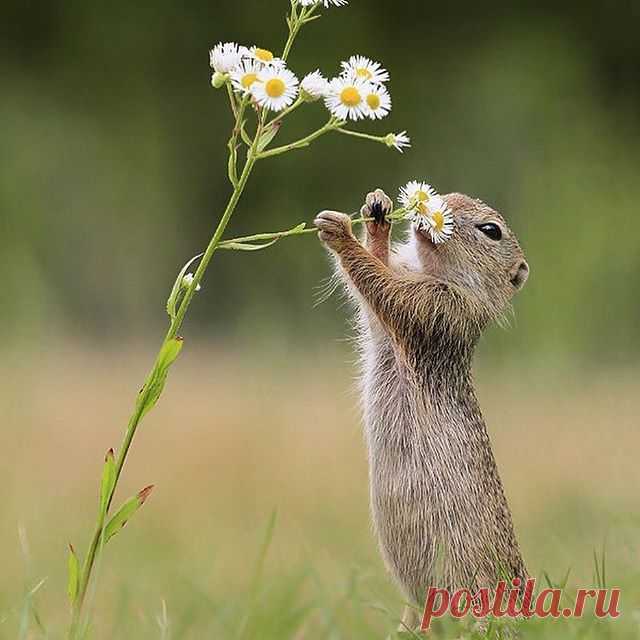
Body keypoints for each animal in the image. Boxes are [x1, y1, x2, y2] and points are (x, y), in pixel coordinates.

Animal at [316, 188, 528, 628]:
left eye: (491, 230)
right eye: (454, 194)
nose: (438, 201)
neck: (434, 272)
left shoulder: (437, 309)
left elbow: (384, 289)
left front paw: (340, 232)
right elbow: (376, 297)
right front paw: (377, 213)